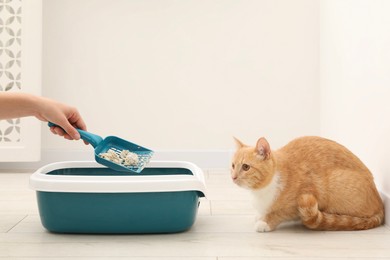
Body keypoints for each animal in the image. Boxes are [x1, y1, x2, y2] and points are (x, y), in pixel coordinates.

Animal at [232, 136, 384, 232]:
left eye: (246, 167)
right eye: (233, 165)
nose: (233, 177)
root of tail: (380, 204)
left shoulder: (302, 198)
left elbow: (279, 213)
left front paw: (265, 222)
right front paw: (261, 215)